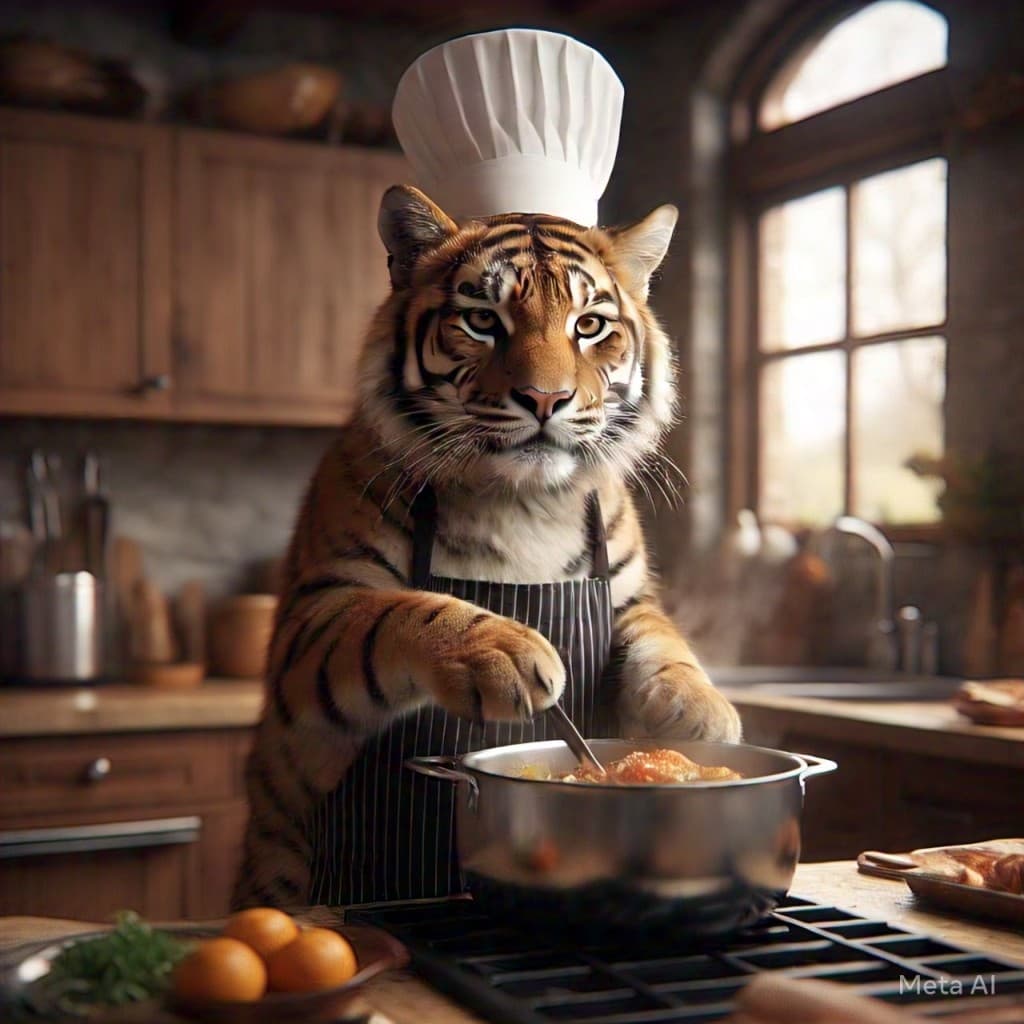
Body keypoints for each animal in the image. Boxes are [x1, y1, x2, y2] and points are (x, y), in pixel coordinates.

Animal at [232, 184, 742, 909]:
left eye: (589, 325)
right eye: (482, 320)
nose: (546, 398)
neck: (522, 500)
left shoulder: (629, 593)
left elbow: (661, 639)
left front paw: (700, 711)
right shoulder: (314, 617)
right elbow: (397, 610)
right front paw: (507, 652)